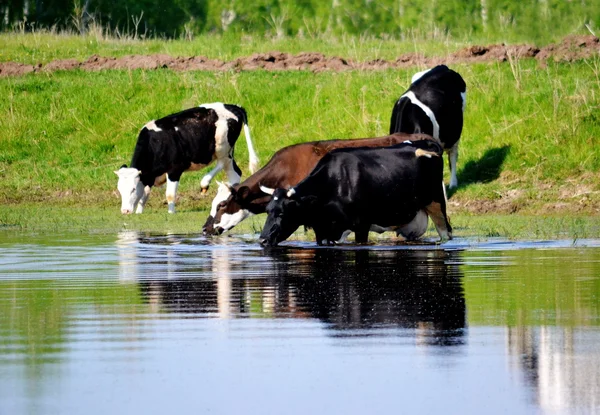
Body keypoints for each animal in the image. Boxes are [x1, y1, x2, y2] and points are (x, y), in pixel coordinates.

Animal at [116, 103, 258, 214]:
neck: (156, 142)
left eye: (133, 189)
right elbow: (143, 197)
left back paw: (205, 182)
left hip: (222, 147)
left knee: (222, 162)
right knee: (234, 172)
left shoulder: (174, 169)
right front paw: (139, 213)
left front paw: (171, 213)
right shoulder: (149, 176)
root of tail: (234, 106)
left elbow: (170, 195)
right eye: (120, 190)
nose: (125, 211)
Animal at [258, 138, 450, 247]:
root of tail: (425, 143)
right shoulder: (324, 230)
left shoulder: (361, 225)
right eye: (267, 211)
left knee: (446, 234)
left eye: (282, 213)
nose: (262, 240)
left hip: (437, 203)